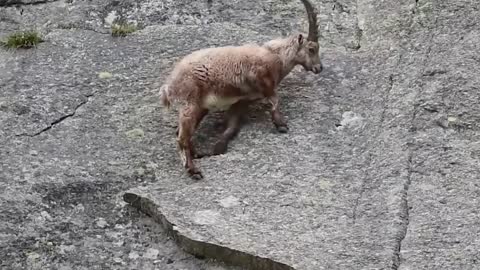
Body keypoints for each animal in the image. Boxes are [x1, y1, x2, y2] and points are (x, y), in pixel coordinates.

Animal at [160, 0, 322, 179]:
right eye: (312, 48)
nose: (319, 68)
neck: (277, 56)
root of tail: (168, 85)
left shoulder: (241, 101)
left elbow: (232, 127)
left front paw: (218, 147)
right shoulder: (258, 76)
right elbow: (274, 99)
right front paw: (281, 124)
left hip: (200, 107)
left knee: (182, 133)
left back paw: (195, 154)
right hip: (190, 102)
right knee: (181, 138)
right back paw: (193, 170)